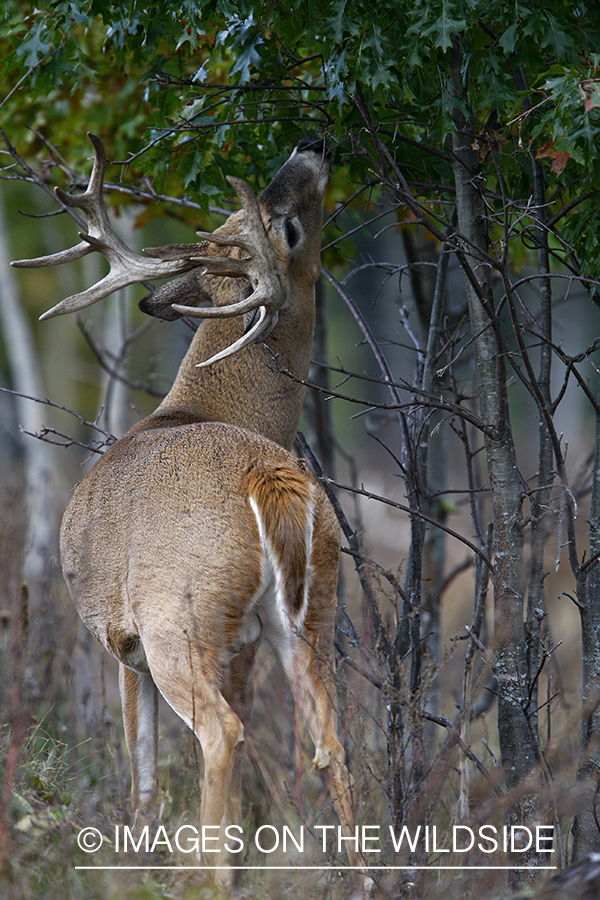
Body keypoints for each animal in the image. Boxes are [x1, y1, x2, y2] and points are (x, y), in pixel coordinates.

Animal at [12, 132, 376, 892]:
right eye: (262, 219)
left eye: (284, 226)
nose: (313, 143)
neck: (193, 407)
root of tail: (269, 478)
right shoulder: (242, 646)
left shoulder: (121, 637)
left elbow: (143, 773)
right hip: (313, 607)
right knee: (330, 742)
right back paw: (359, 882)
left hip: (173, 614)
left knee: (220, 732)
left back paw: (208, 879)